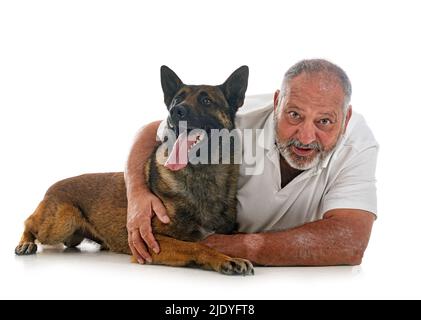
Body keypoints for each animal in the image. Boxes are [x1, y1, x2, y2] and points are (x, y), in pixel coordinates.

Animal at [14, 65, 253, 276]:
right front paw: (226, 260)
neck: (201, 174)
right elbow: (197, 246)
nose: (176, 111)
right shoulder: (152, 241)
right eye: (177, 99)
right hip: (60, 222)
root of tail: (53, 187)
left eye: (206, 100)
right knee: (28, 223)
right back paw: (25, 243)